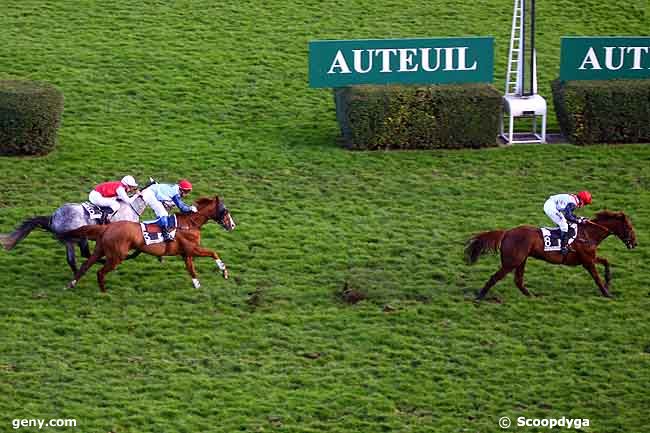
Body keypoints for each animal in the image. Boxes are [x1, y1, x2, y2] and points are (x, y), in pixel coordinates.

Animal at [0, 194, 146, 272]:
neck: (130, 207)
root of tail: (53, 219)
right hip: (81, 237)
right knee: (85, 254)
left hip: (69, 241)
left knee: (71, 260)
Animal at [63, 197, 234, 292]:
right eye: (225, 211)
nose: (232, 225)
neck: (189, 224)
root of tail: (107, 227)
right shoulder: (193, 249)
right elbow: (213, 253)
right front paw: (224, 272)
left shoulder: (186, 253)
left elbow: (191, 269)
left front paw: (197, 286)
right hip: (116, 256)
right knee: (100, 272)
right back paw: (104, 292)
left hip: (100, 250)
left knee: (85, 265)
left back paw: (71, 284)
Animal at [464, 210, 636, 298]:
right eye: (629, 228)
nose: (635, 243)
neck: (588, 234)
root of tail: (506, 232)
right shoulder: (587, 261)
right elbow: (596, 278)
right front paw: (607, 293)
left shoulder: (589, 258)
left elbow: (606, 262)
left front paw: (608, 283)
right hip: (512, 261)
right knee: (495, 277)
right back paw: (480, 296)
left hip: (521, 260)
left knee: (518, 280)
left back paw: (531, 296)